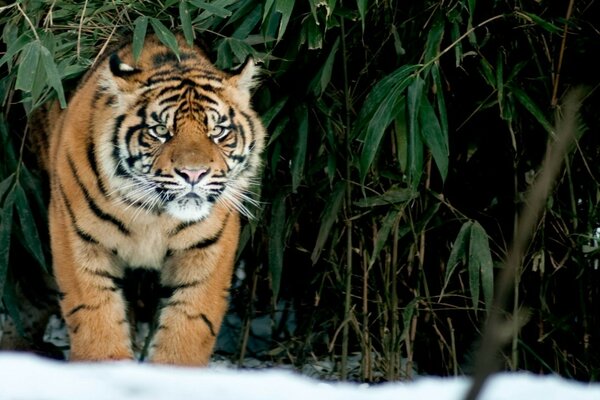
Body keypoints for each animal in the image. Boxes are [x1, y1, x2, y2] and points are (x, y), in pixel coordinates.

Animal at [27, 34, 268, 366]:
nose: (194, 174)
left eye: (218, 131)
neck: (153, 213)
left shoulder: (207, 249)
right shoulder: (78, 239)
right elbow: (94, 314)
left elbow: (190, 321)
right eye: (160, 131)